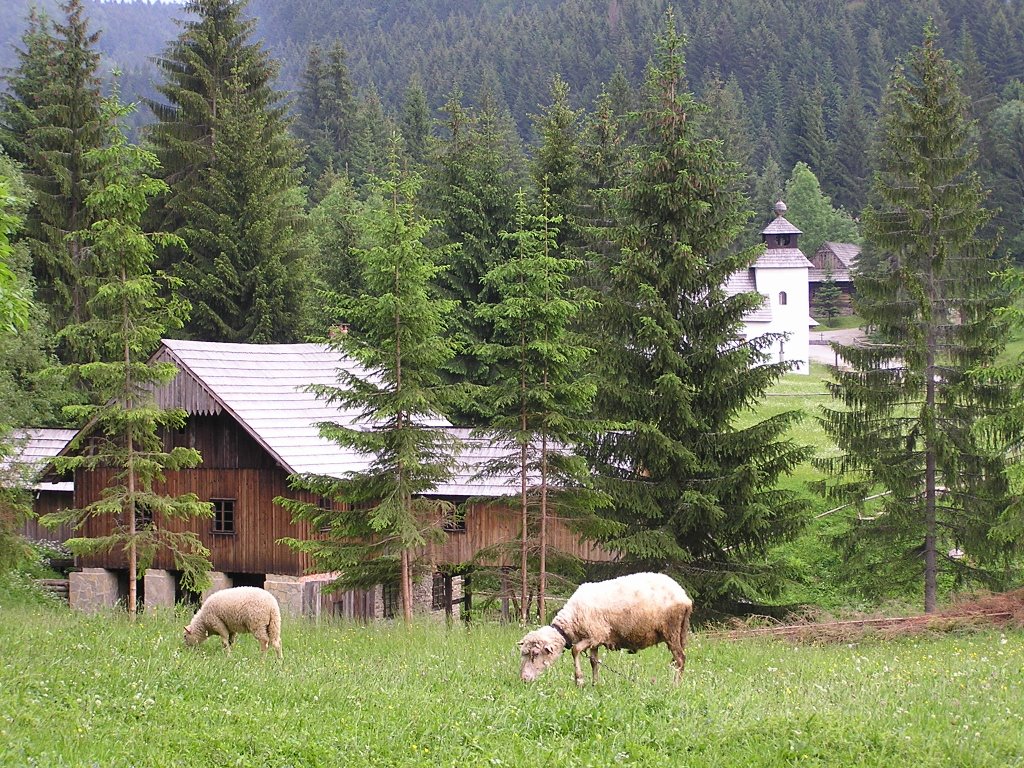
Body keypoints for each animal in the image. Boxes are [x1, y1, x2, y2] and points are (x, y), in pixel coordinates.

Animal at [516, 573, 692, 688]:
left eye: (535, 654)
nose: (523, 679)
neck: (571, 620)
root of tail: (684, 597)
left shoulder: (595, 634)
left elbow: (575, 650)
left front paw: (579, 680)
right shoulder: (595, 640)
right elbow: (594, 661)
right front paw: (595, 683)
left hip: (672, 630)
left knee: (681, 659)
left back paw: (675, 686)